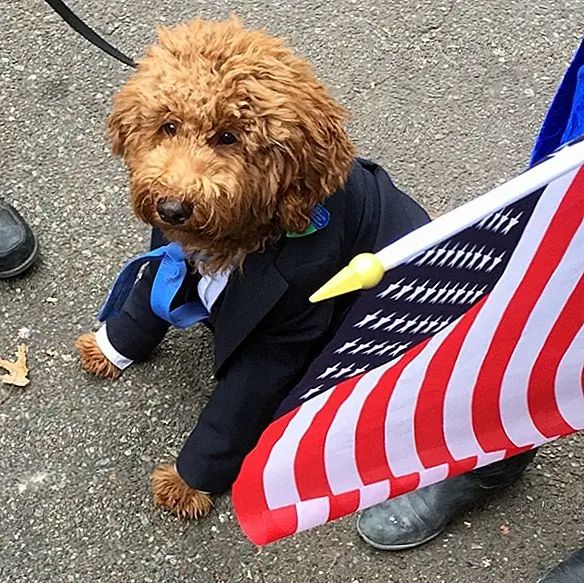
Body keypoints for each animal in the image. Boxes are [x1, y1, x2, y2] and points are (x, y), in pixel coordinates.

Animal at [75, 17, 428, 520]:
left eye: (229, 136)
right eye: (168, 126)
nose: (172, 207)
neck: (231, 242)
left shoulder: (283, 334)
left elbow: (233, 407)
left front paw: (187, 484)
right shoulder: (168, 255)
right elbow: (142, 306)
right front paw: (108, 350)